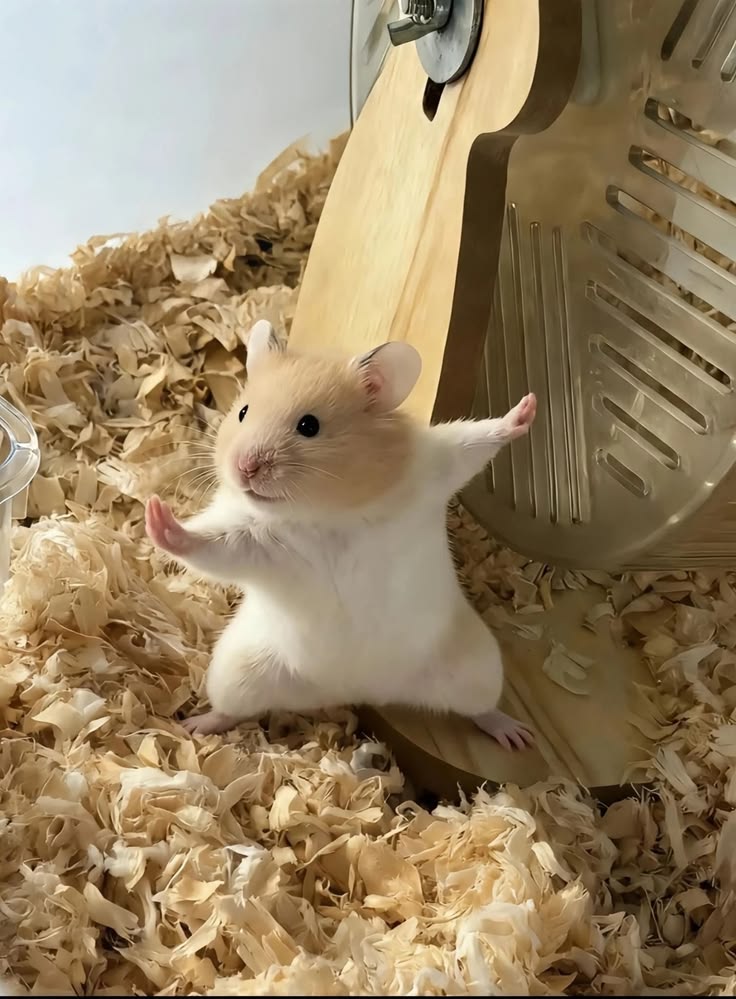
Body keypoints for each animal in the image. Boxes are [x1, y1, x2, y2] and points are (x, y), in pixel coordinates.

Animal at [145, 320, 537, 751]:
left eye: (309, 426)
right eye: (243, 412)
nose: (244, 467)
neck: (328, 513)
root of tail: (355, 690)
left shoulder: (434, 469)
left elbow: (476, 440)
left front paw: (527, 407)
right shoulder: (250, 538)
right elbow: (208, 543)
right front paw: (156, 515)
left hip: (477, 666)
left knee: (482, 709)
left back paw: (518, 736)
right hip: (238, 668)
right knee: (229, 709)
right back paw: (193, 727)